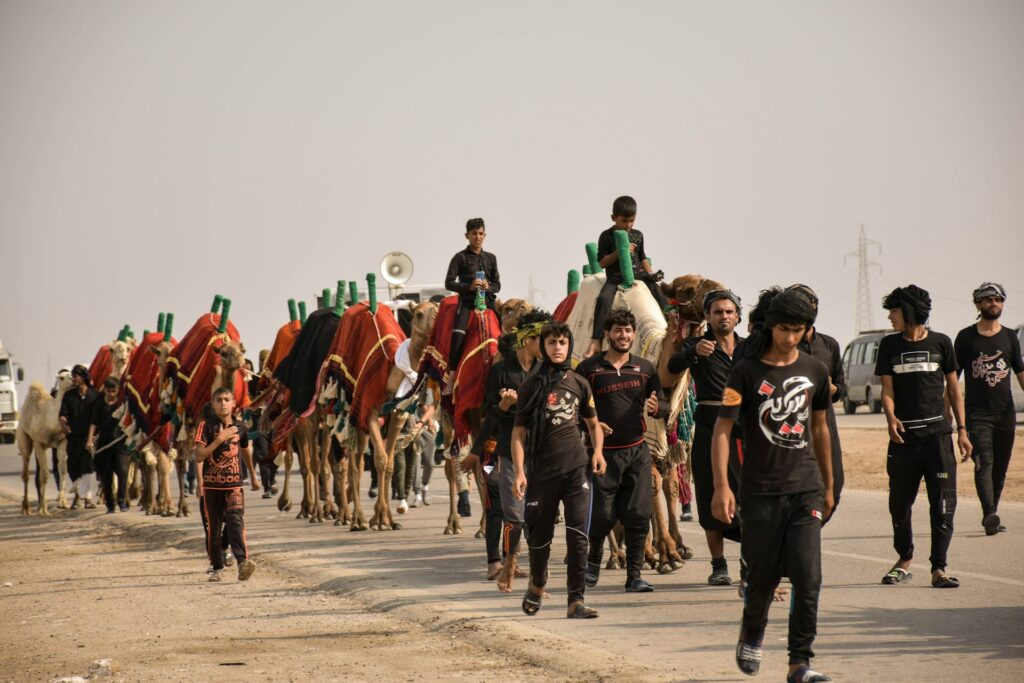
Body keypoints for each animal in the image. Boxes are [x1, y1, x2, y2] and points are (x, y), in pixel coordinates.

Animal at [16, 374, 73, 518]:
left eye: (72, 374)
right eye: (62, 377)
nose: (73, 379)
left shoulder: (62, 442)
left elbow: (63, 469)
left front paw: (63, 503)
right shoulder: (39, 443)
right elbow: (45, 475)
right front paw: (44, 509)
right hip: (24, 438)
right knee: (26, 472)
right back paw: (26, 508)